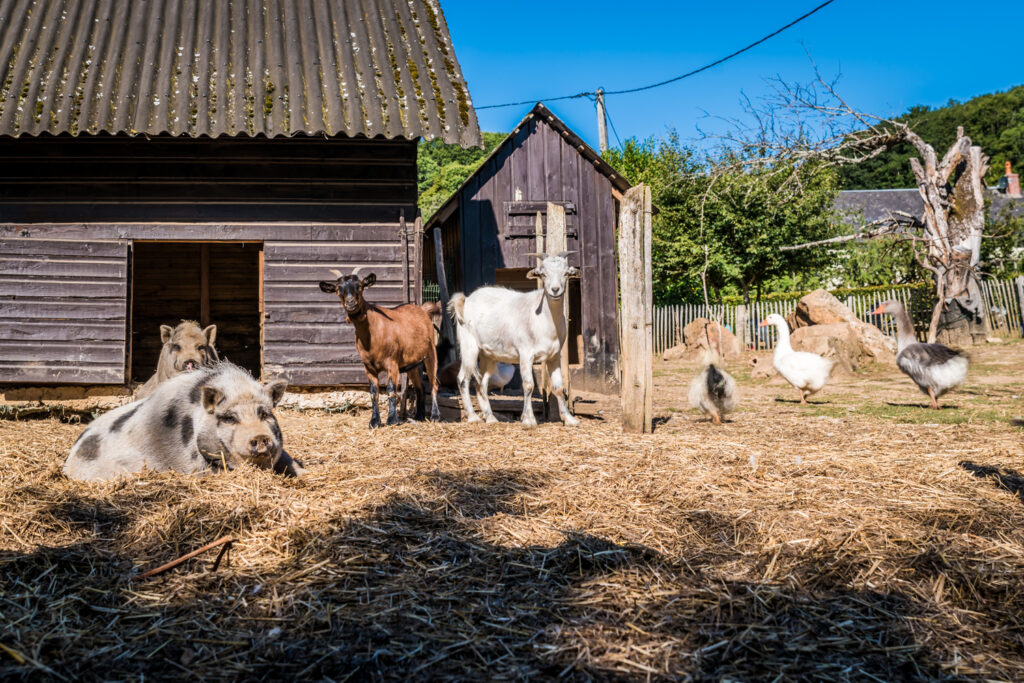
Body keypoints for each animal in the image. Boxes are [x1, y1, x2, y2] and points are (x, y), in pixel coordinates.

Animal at [62, 362, 303, 481]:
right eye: (229, 418)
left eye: (265, 414)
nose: (260, 436)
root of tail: (70, 458)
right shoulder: (194, 462)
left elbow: (290, 462)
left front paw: (304, 474)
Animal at [315, 270, 436, 428]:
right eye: (338, 289)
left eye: (360, 286)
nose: (350, 303)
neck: (372, 336)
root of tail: (423, 309)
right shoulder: (368, 366)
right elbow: (373, 392)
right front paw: (374, 422)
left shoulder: (392, 363)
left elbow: (391, 390)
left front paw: (392, 420)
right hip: (413, 363)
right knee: (420, 386)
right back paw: (419, 416)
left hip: (431, 353)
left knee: (434, 383)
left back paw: (435, 416)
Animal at [450, 255, 585, 428]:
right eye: (543, 274)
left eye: (566, 273)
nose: (555, 290)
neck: (544, 320)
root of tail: (466, 300)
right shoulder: (526, 353)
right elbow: (528, 385)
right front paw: (529, 419)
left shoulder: (554, 356)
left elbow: (559, 387)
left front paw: (569, 419)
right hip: (469, 345)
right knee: (463, 378)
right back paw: (473, 417)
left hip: (488, 355)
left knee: (481, 383)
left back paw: (490, 417)